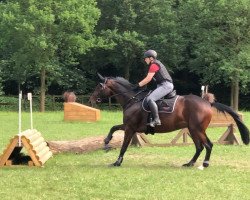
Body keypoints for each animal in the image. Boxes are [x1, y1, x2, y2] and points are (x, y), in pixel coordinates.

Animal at [90, 74, 250, 168]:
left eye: (99, 86)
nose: (91, 100)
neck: (132, 99)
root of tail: (207, 103)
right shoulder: (130, 126)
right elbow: (113, 127)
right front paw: (106, 141)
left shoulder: (130, 127)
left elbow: (123, 145)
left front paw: (117, 161)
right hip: (193, 129)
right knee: (199, 147)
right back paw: (190, 163)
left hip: (197, 129)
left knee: (208, 145)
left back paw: (204, 164)